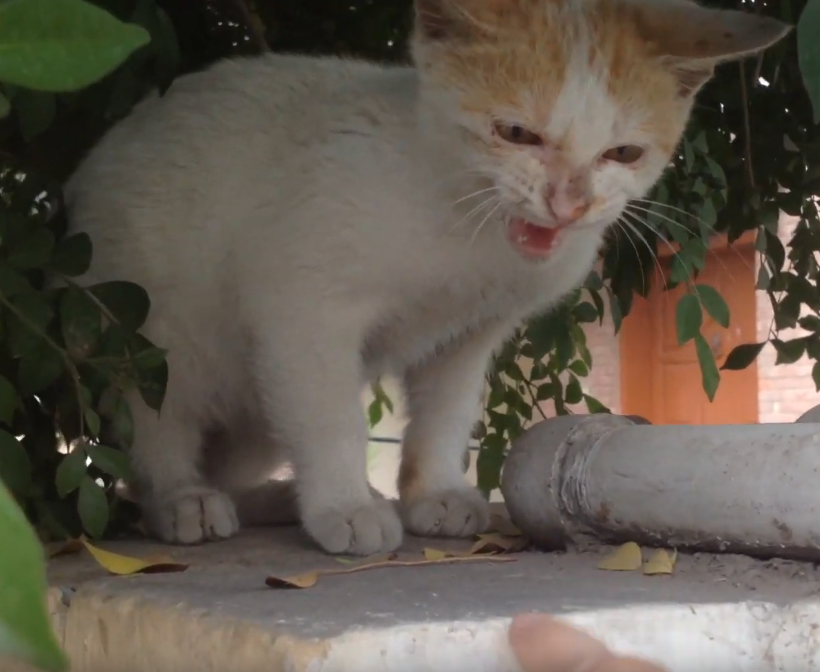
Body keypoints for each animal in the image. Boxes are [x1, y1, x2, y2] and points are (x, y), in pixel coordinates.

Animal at [64, 0, 789, 555]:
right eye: (516, 133)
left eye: (624, 153)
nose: (569, 203)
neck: (467, 230)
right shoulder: (302, 305)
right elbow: (330, 417)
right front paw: (344, 505)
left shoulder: (470, 333)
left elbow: (446, 415)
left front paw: (430, 492)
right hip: (156, 335)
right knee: (154, 435)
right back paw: (185, 500)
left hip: (253, 401)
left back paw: (269, 497)